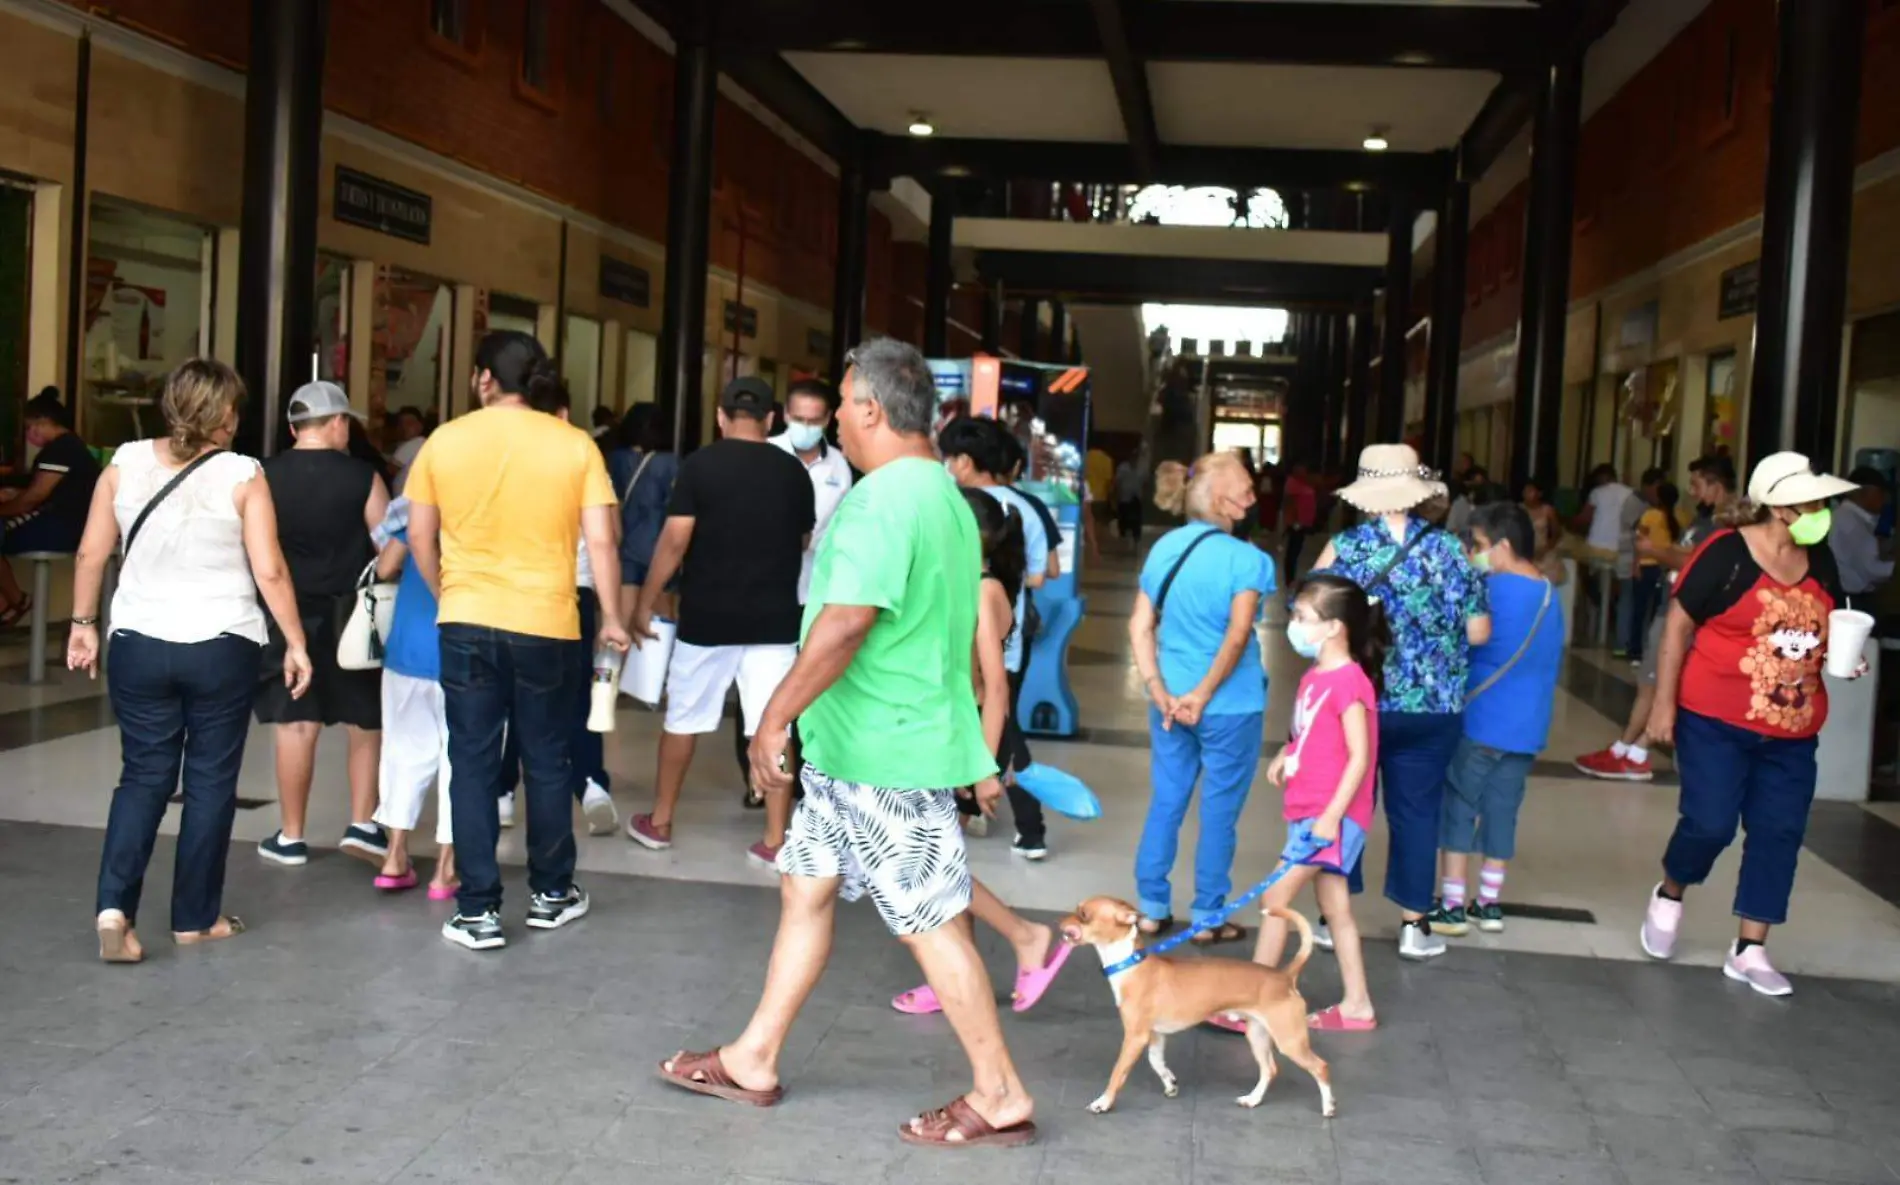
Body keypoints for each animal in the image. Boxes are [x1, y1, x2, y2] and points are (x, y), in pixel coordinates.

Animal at [1056, 896, 1337, 1116]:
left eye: (1083, 914)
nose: (1059, 924)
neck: (1130, 964)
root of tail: (1286, 976)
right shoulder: (1154, 1035)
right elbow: (1156, 1062)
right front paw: (1170, 1083)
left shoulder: (1135, 1036)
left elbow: (1117, 1073)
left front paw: (1103, 1102)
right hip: (1256, 1035)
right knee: (1270, 1070)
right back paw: (1253, 1099)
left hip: (1290, 1041)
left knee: (1320, 1067)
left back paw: (1328, 1107)